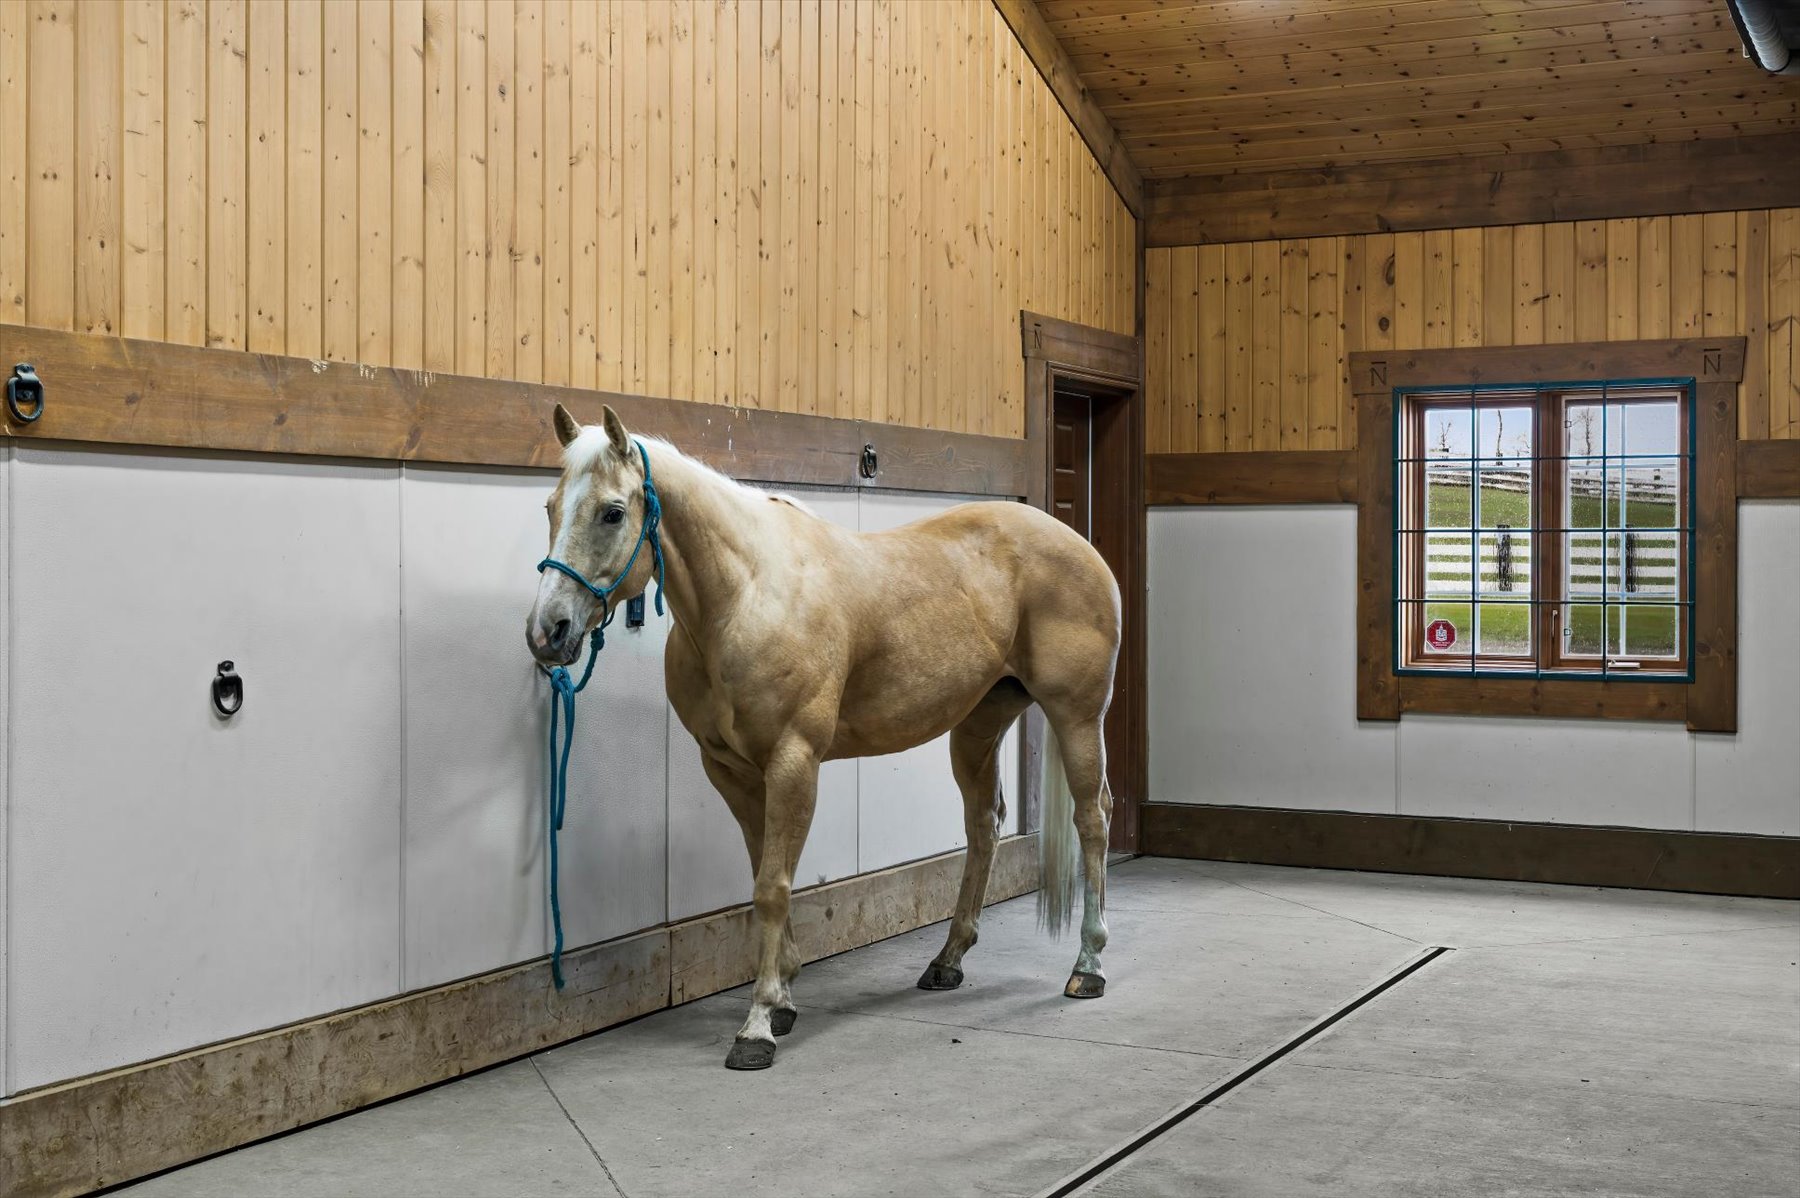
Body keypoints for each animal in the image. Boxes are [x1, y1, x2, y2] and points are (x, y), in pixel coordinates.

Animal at [525, 403, 1121, 1070]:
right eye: (550, 506)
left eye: (612, 512)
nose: (548, 631)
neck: (745, 598)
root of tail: (1076, 543)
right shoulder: (729, 770)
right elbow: (763, 870)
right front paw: (784, 996)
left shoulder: (794, 762)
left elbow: (773, 887)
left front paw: (757, 1025)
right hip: (976, 726)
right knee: (983, 826)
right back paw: (947, 960)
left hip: (1077, 715)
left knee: (1093, 818)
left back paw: (1088, 965)